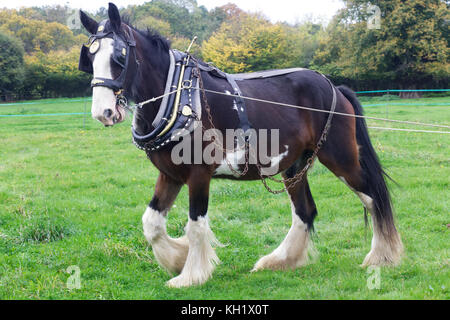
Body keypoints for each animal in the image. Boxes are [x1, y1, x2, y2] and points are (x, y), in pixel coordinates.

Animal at [78, 2, 404, 288]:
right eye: (89, 60)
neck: (180, 94)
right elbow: (152, 224)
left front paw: (190, 275)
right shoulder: (170, 174)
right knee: (305, 211)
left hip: (341, 157)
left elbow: (195, 225)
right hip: (295, 166)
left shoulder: (199, 174)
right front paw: (177, 259)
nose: (103, 112)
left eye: (119, 57)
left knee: (373, 197)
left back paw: (381, 256)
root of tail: (334, 86)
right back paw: (281, 260)